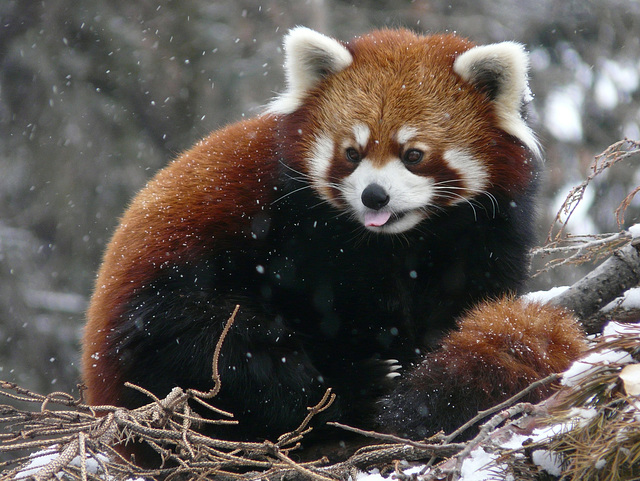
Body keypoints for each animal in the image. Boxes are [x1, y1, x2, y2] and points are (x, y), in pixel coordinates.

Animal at [81, 27, 584, 462]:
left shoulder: (485, 231)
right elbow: (334, 309)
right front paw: (372, 373)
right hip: (161, 313)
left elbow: (470, 306)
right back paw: (348, 392)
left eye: (413, 155)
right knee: (224, 348)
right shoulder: (303, 236)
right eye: (352, 153)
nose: (374, 195)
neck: (401, 239)